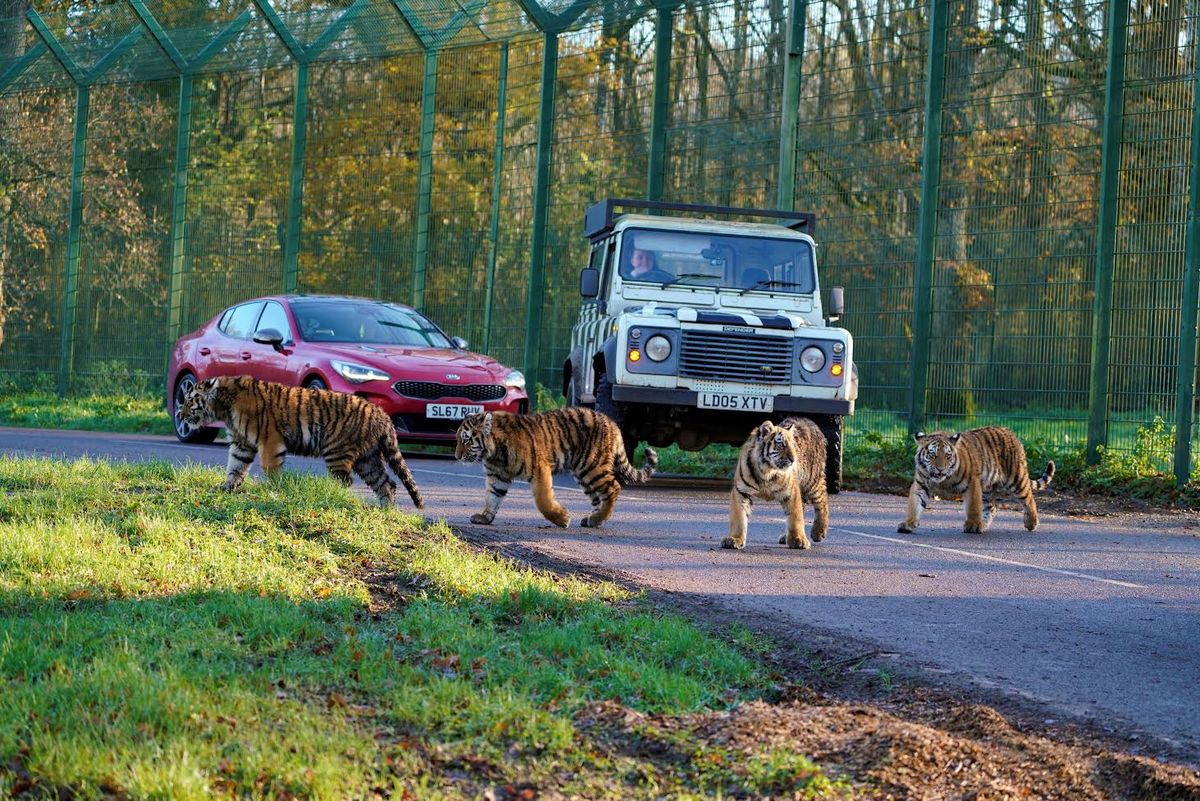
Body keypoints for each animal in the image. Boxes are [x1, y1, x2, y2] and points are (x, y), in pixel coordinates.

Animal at [176, 375, 424, 509]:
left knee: (345, 481)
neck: (223, 406)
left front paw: (275, 490)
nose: (180, 415)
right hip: (368, 458)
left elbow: (271, 469)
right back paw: (384, 510)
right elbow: (235, 467)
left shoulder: (270, 439)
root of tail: (382, 414)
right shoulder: (242, 444)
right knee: (387, 483)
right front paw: (226, 488)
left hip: (337, 452)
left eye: (189, 401)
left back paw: (329, 497)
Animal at [454, 407, 657, 528]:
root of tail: (613, 423)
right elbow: (492, 497)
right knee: (599, 497)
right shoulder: (498, 476)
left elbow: (543, 500)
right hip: (583, 474)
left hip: (592, 467)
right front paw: (485, 517)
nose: (456, 456)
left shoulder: (539, 469)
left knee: (613, 488)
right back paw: (593, 519)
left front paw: (562, 519)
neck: (494, 453)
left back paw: (597, 518)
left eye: (466, 439)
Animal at [724, 417, 829, 551]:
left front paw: (798, 540)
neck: (766, 471)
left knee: (823, 501)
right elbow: (738, 517)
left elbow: (796, 516)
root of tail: (810, 421)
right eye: (781, 444)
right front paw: (734, 539)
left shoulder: (792, 491)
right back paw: (786, 537)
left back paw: (818, 532)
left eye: (793, 445)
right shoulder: (741, 491)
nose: (793, 459)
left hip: (812, 480)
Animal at [897, 426, 1054, 534]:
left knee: (1029, 498)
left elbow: (973, 506)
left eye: (947, 455)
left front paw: (972, 524)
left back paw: (1031, 523)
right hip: (987, 488)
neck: (943, 480)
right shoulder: (920, 485)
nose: (940, 469)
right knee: (991, 507)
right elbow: (914, 505)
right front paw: (908, 523)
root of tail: (1010, 432)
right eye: (932, 455)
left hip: (1016, 478)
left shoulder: (972, 483)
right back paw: (983, 525)